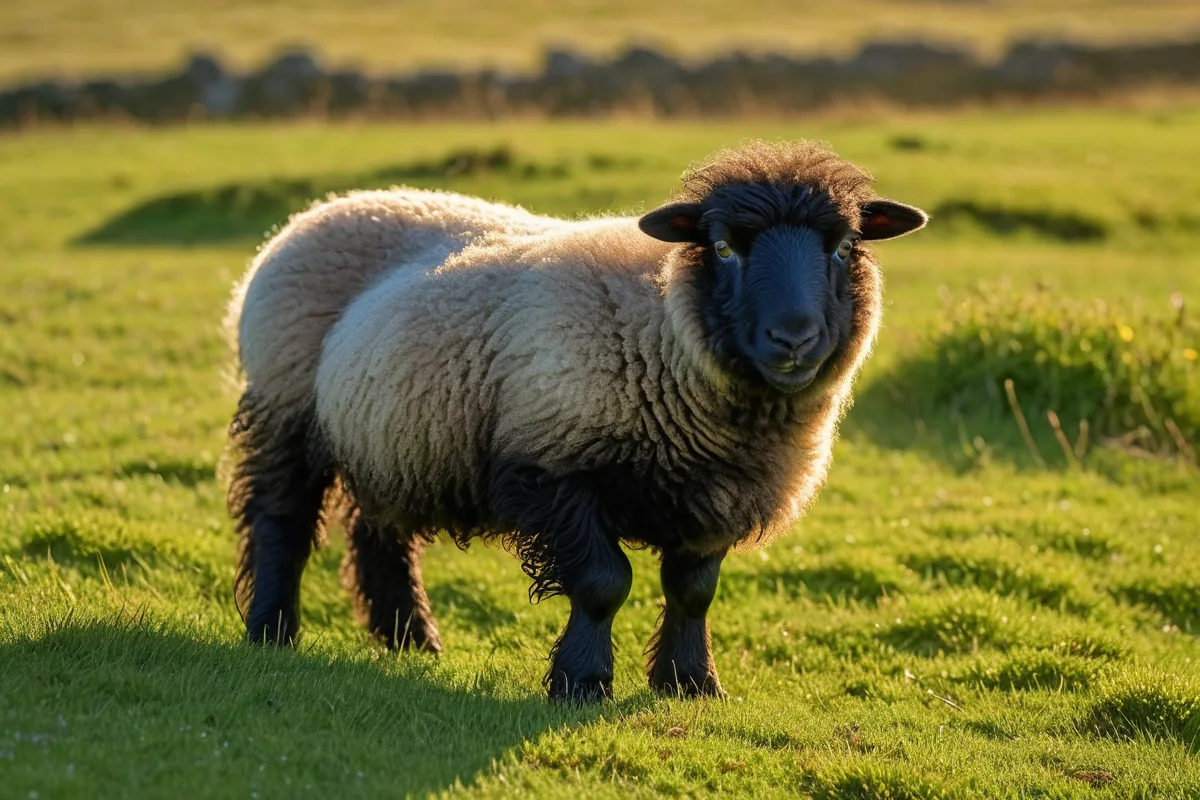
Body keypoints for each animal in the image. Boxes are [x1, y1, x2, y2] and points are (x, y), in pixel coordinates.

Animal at [224, 140, 927, 701]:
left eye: (844, 246)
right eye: (724, 248)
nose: (794, 338)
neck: (663, 331)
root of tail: (324, 208)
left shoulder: (713, 494)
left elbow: (693, 591)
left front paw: (691, 683)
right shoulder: (551, 466)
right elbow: (601, 583)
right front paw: (582, 682)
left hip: (393, 436)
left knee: (379, 535)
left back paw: (412, 642)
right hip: (287, 407)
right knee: (281, 521)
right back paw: (272, 631)